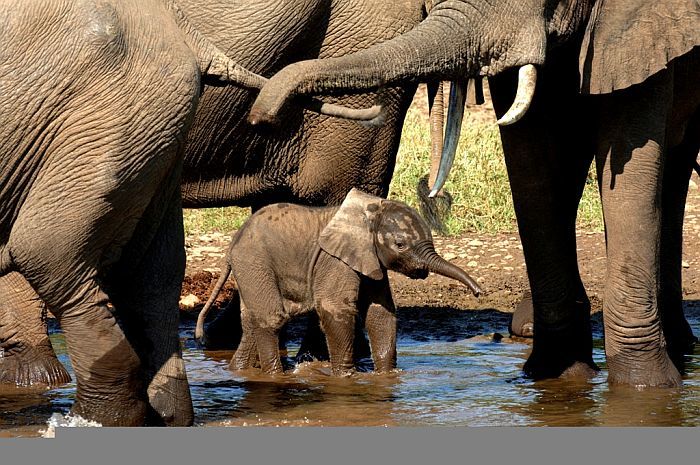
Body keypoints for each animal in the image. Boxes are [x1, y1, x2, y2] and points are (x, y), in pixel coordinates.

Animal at [194, 189, 482, 375]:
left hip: (250, 268)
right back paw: (274, 377)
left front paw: (387, 377)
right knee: (270, 317)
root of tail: (233, 243)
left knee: (251, 321)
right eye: (400, 245)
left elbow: (380, 313)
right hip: (255, 261)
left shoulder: (368, 258)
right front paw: (345, 379)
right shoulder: (334, 260)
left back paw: (239, 372)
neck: (370, 211)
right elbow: (335, 308)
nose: (479, 292)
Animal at [248, 0, 700, 387]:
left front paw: (646, 388)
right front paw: (557, 377)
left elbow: (631, 163)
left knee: (673, 171)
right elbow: (531, 159)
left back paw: (679, 349)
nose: (260, 117)